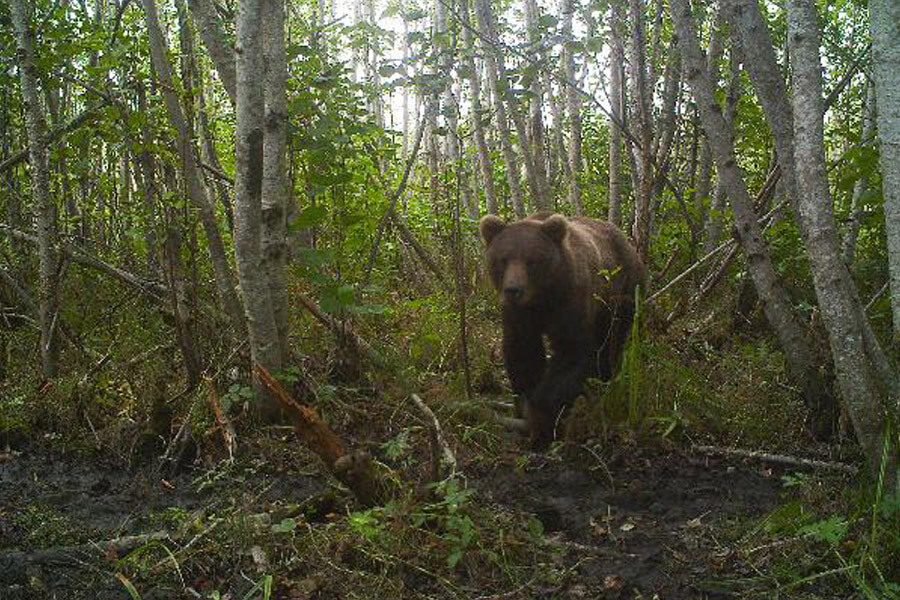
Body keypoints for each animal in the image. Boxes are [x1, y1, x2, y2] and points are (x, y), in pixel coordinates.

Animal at [480, 212, 647, 447]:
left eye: (531, 261)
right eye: (503, 259)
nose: (513, 290)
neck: (541, 298)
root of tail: (628, 242)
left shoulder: (570, 301)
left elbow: (572, 353)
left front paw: (542, 420)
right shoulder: (519, 315)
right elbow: (523, 352)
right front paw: (526, 407)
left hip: (621, 293)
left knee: (611, 342)